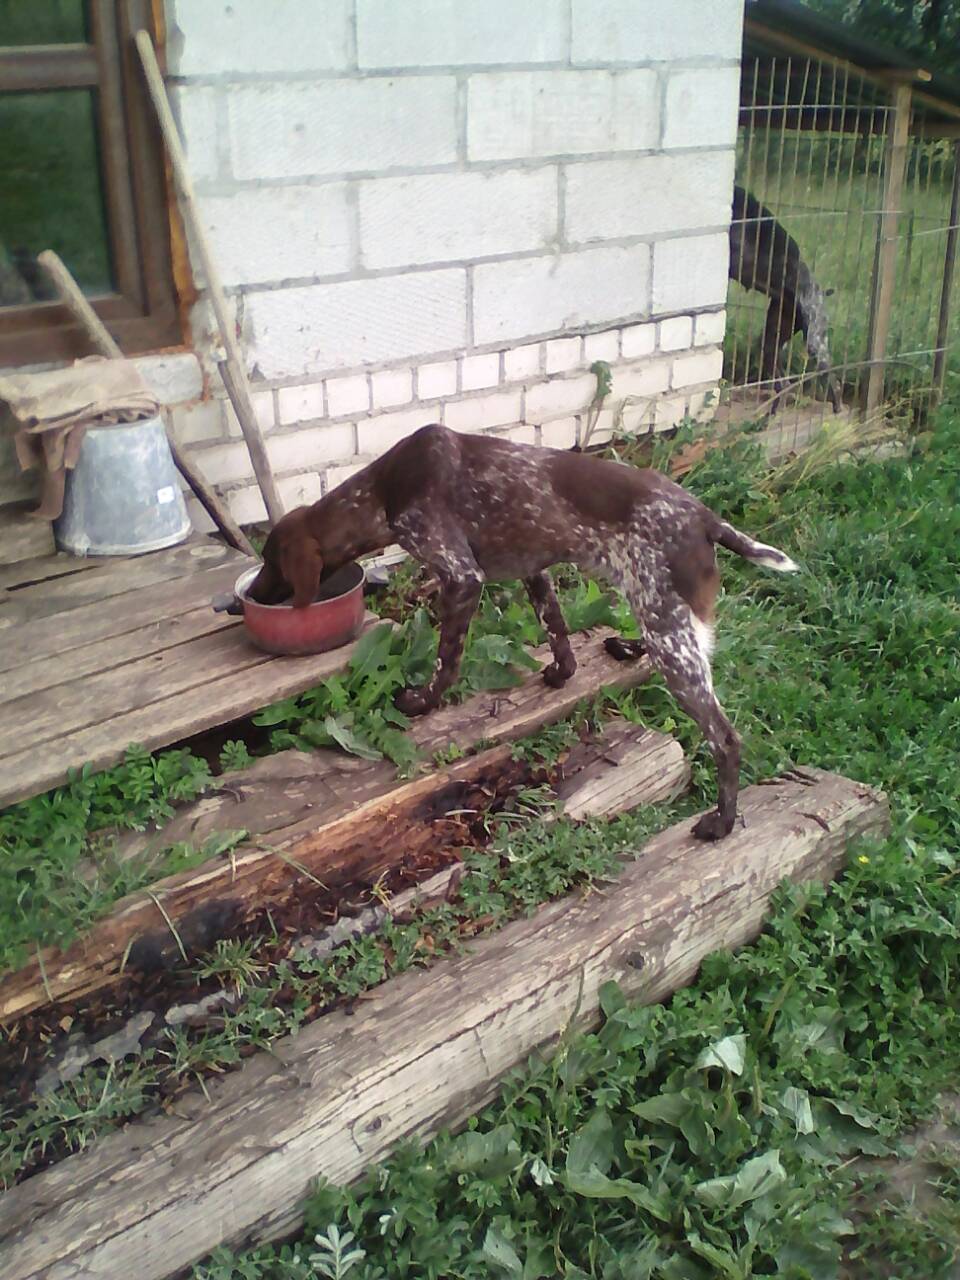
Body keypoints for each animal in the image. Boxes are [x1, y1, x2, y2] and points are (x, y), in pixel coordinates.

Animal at [249, 425, 798, 840]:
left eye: (269, 562)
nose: (241, 601)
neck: (383, 491)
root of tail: (706, 518)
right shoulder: (535, 571)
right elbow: (556, 630)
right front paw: (560, 673)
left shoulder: (461, 578)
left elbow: (446, 660)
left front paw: (421, 703)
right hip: (668, 621)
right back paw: (624, 646)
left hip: (668, 633)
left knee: (725, 738)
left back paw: (721, 823)